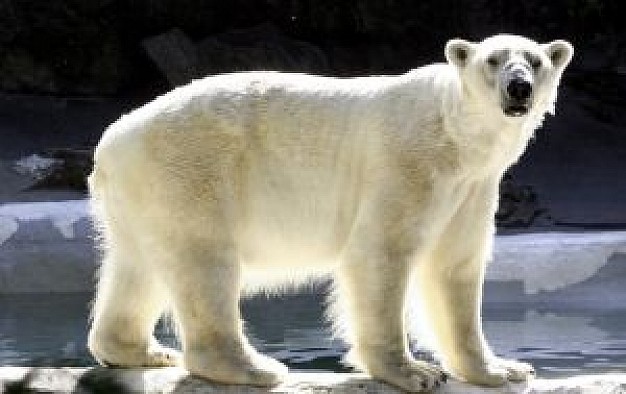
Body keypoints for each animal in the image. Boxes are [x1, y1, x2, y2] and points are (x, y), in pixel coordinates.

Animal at [86, 34, 572, 390]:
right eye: (493, 60)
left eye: (535, 61)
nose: (519, 86)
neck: (454, 134)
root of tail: (113, 140)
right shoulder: (407, 163)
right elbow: (381, 252)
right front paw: (415, 373)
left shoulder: (473, 186)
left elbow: (454, 266)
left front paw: (503, 369)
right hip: (191, 168)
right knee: (204, 261)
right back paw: (255, 367)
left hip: (141, 194)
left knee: (139, 266)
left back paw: (142, 350)